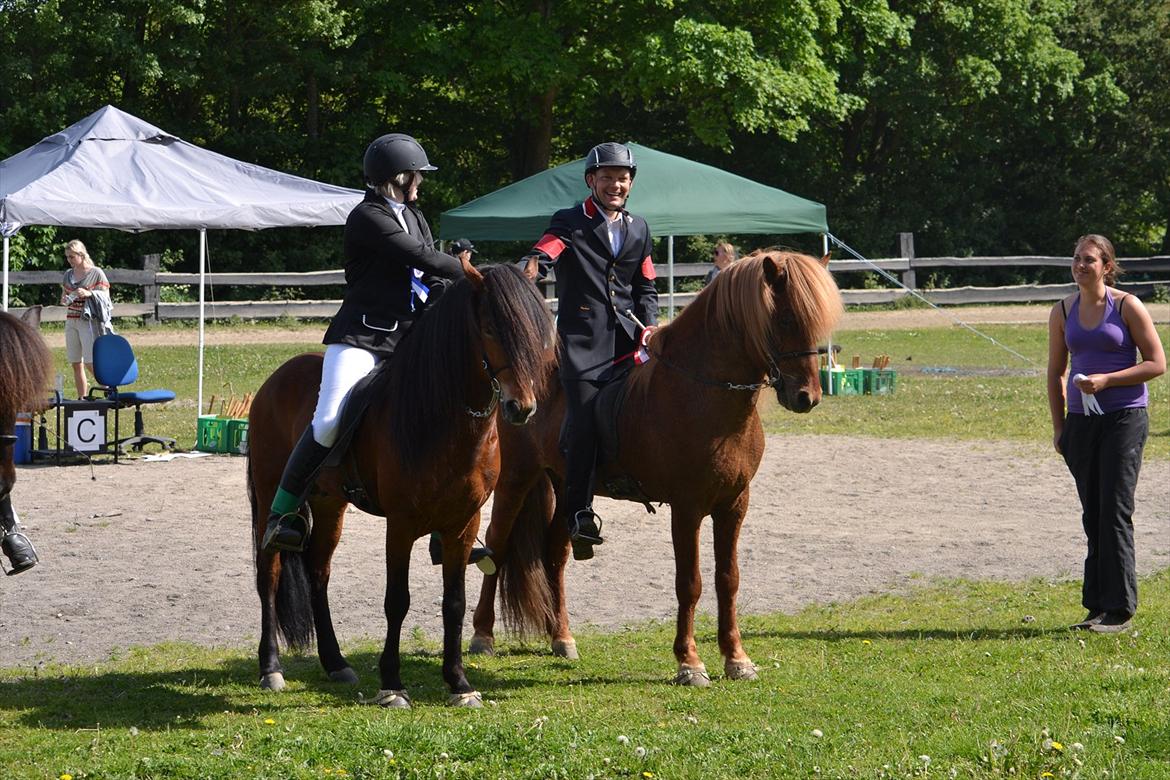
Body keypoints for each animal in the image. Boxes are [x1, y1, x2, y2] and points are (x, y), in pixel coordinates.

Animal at [245, 261, 552, 706]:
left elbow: (454, 602)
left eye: (538, 331)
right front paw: (391, 684)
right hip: (271, 491)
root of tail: (276, 378)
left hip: (329, 504)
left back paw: (335, 663)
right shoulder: (401, 524)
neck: (444, 417)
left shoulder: (464, 524)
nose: (521, 408)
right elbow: (397, 601)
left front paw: (459, 683)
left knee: (319, 571)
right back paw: (271, 668)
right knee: (268, 573)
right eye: (491, 328)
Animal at [465, 249, 842, 682]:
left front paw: (737, 658)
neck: (701, 391)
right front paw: (690, 663)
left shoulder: (734, 505)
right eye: (785, 320)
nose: (807, 397)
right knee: (495, 546)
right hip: (516, 479)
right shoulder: (687, 507)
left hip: (565, 486)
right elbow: (690, 583)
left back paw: (562, 637)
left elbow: (728, 580)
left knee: (555, 556)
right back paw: (482, 636)